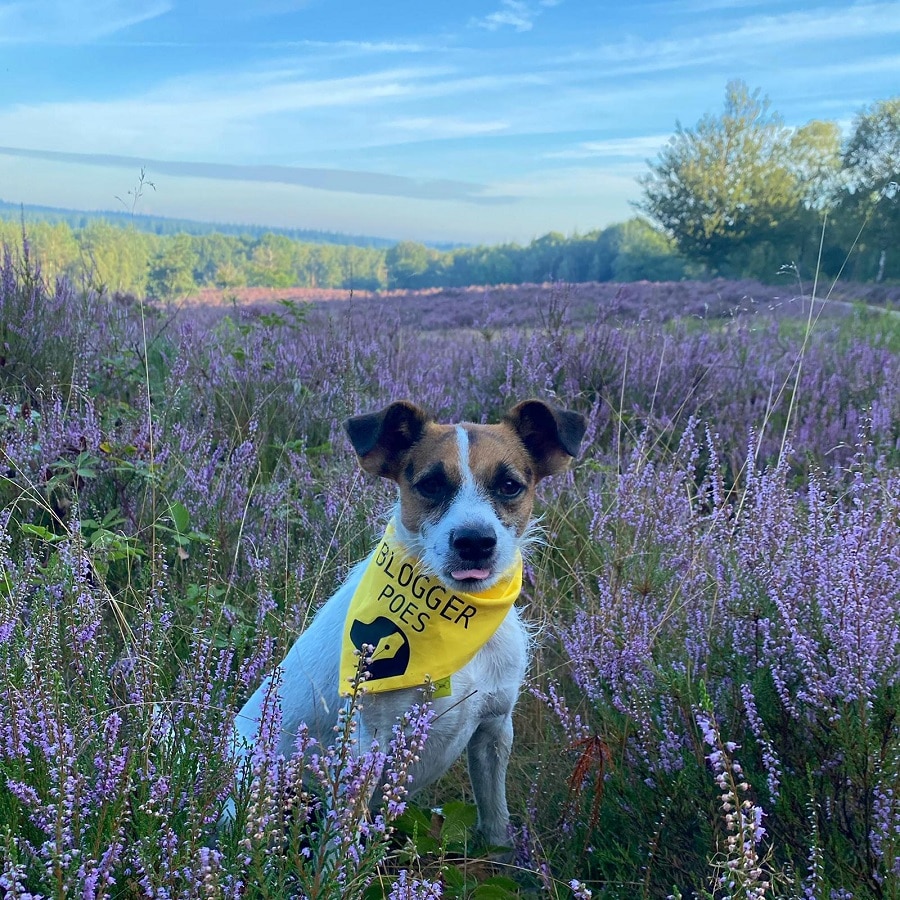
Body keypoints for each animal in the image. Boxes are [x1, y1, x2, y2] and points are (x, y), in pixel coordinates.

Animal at [230, 398, 584, 848]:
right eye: (431, 484)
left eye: (509, 486)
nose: (474, 542)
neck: (457, 622)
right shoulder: (367, 746)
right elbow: (343, 846)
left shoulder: (494, 731)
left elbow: (496, 823)